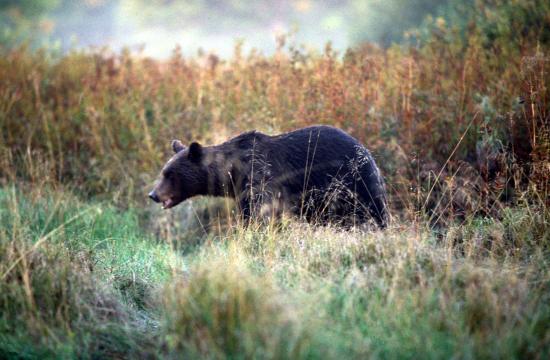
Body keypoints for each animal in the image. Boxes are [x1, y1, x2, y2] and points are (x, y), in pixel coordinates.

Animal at [149, 125, 390, 228]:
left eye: (169, 174)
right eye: (164, 172)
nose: (153, 194)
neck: (232, 172)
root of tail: (369, 154)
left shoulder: (259, 178)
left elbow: (257, 213)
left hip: (352, 181)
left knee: (373, 211)